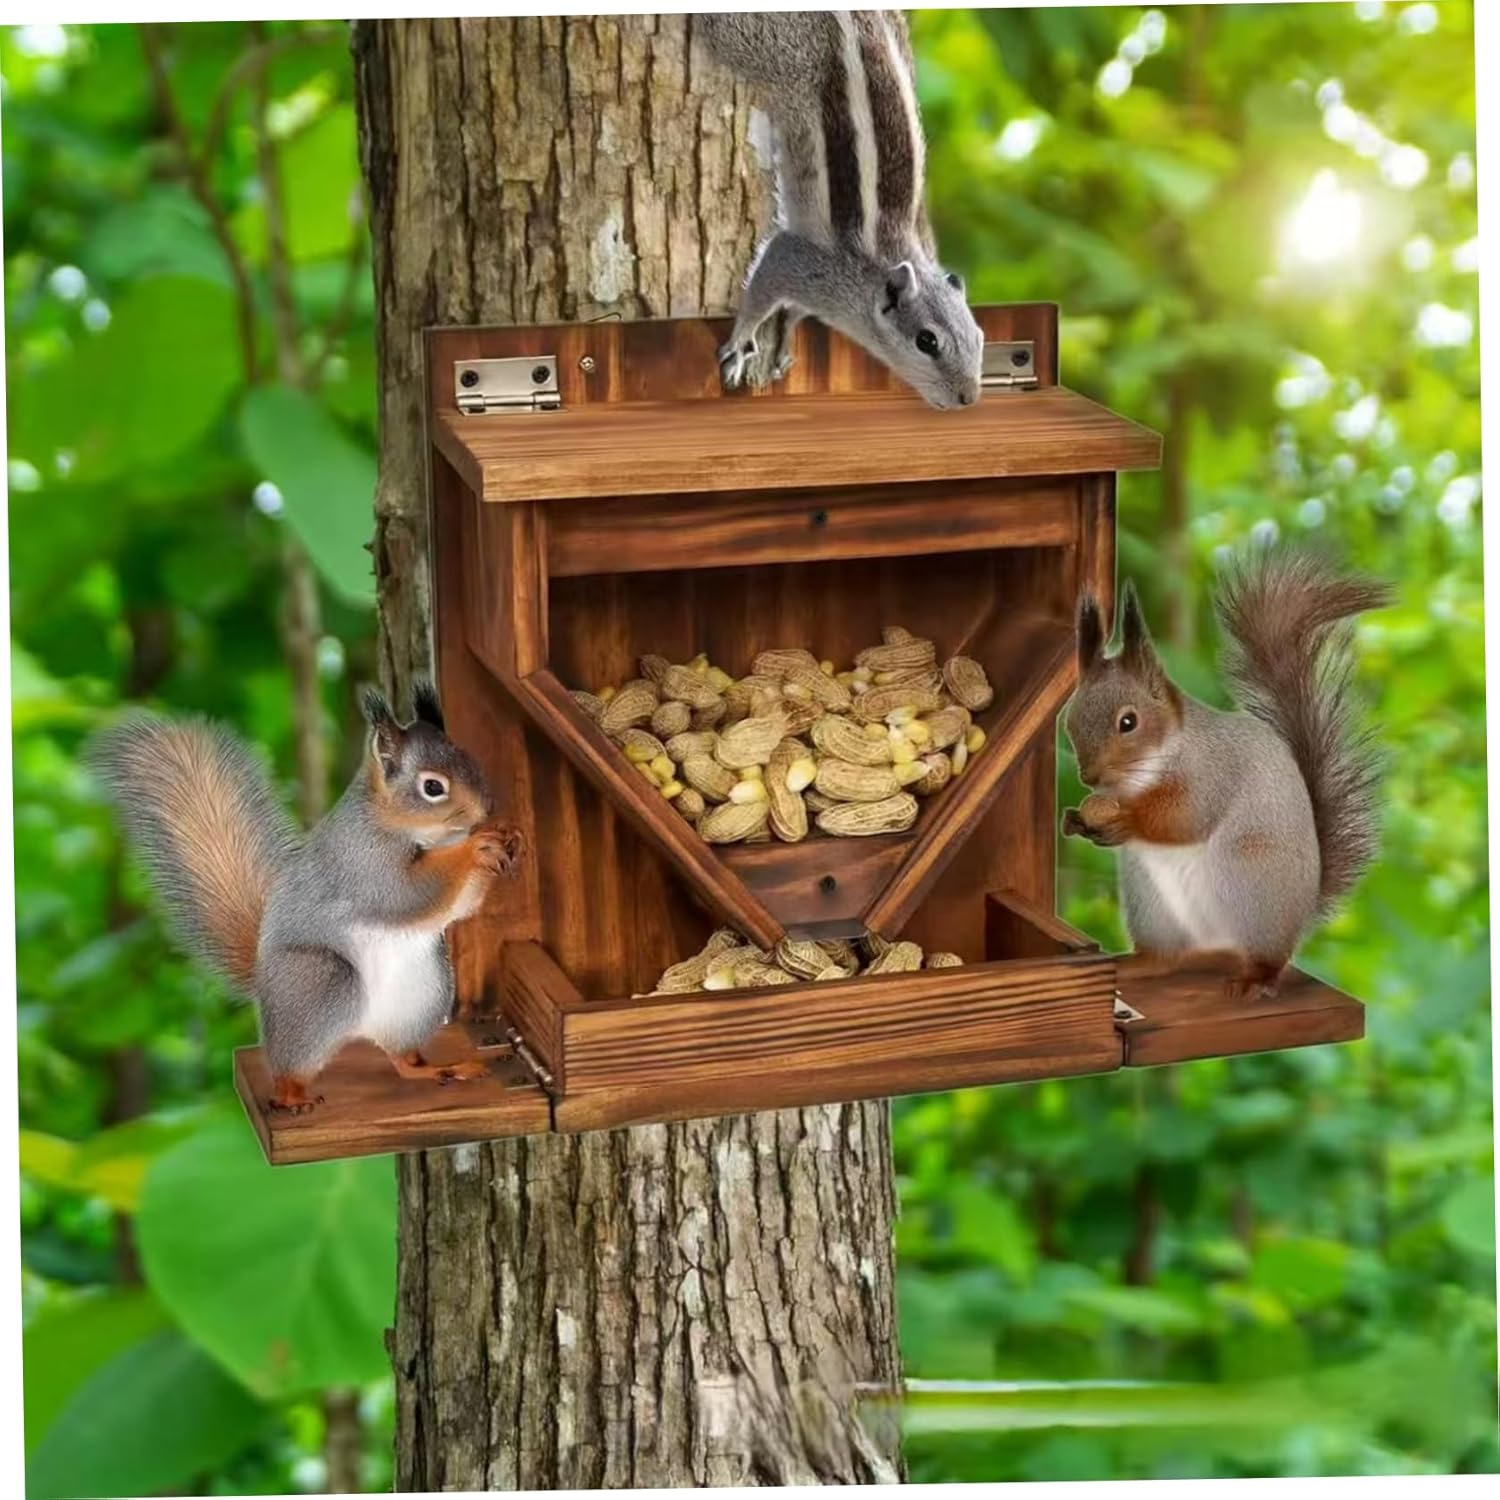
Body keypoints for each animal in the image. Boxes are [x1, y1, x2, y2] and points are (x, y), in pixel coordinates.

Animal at [88, 685, 522, 1113]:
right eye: (433, 787)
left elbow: (459, 906)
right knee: (290, 1067)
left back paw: (439, 1070)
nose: (485, 810)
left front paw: (505, 837)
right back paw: (292, 1095)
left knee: (400, 1059)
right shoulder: (362, 861)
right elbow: (407, 893)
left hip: (420, 994)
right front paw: (475, 847)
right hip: (320, 981)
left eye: (469, 759)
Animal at [698, 9, 984, 409]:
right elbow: (760, 293)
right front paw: (741, 342)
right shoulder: (800, 263)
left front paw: (787, 334)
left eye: (979, 336)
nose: (969, 397)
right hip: (754, 45)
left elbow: (794, 311)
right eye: (926, 341)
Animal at [1061, 550, 1391, 997]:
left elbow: (1185, 817)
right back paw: (1140, 965)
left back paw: (1257, 978)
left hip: (1249, 878)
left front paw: (1126, 821)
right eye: (1070, 720)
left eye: (1128, 722)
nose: (1090, 778)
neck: (1139, 779)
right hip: (1152, 903)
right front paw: (1075, 820)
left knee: (1271, 956)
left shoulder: (1211, 772)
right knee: (1169, 955)